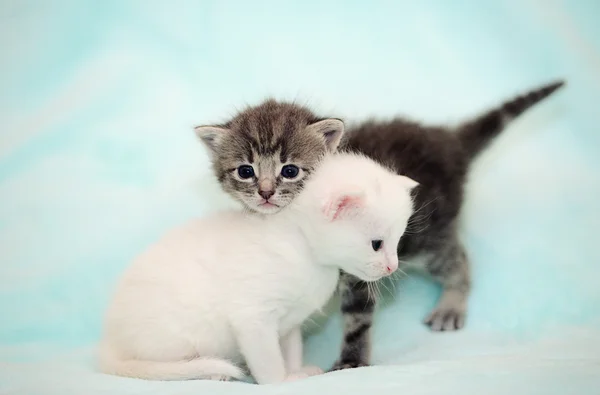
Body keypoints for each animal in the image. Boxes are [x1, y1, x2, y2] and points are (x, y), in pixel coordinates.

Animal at [99, 153, 418, 386]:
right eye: (376, 244)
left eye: (398, 241)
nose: (392, 266)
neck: (302, 248)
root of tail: (109, 342)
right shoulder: (253, 319)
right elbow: (268, 362)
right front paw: (282, 381)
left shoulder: (289, 325)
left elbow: (290, 352)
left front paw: (297, 371)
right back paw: (212, 372)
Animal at [195, 80, 564, 372]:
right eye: (245, 171)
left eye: (290, 171)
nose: (265, 192)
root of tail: (447, 140)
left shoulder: (358, 270)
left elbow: (357, 321)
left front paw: (351, 362)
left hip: (427, 238)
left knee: (456, 259)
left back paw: (450, 305)